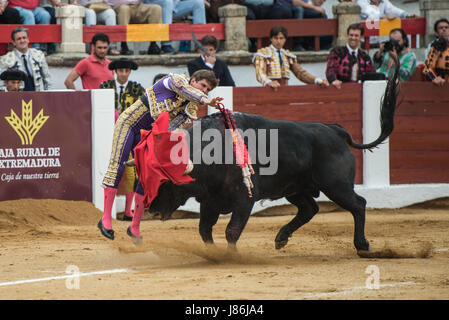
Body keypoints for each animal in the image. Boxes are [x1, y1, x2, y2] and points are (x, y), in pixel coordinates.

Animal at [150, 65, 400, 254]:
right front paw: (214, 254)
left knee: (358, 204)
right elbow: (204, 230)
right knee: (309, 208)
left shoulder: (245, 198)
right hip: (296, 188)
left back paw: (362, 245)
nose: (152, 211)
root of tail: (334, 130)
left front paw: (231, 256)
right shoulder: (210, 199)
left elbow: (231, 230)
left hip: (335, 185)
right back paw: (281, 238)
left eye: (165, 182)